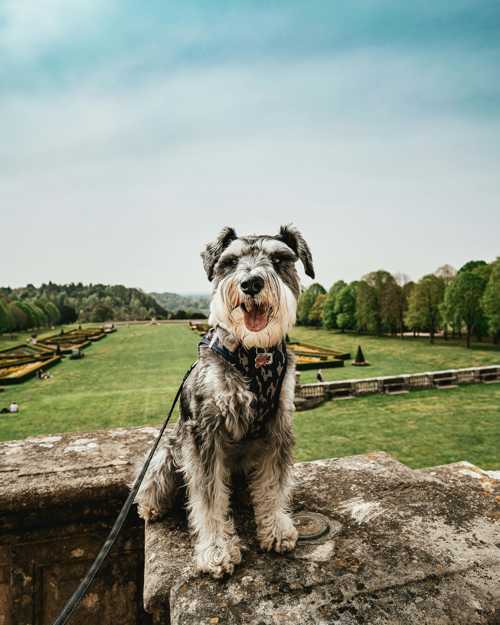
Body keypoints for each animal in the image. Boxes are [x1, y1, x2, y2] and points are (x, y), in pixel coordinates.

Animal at [136, 223, 316, 576]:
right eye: (230, 262)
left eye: (279, 259)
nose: (251, 283)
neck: (255, 356)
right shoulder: (204, 432)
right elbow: (208, 498)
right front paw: (216, 550)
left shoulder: (278, 426)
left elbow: (274, 483)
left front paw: (275, 528)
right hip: (167, 452)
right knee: (154, 482)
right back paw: (150, 507)